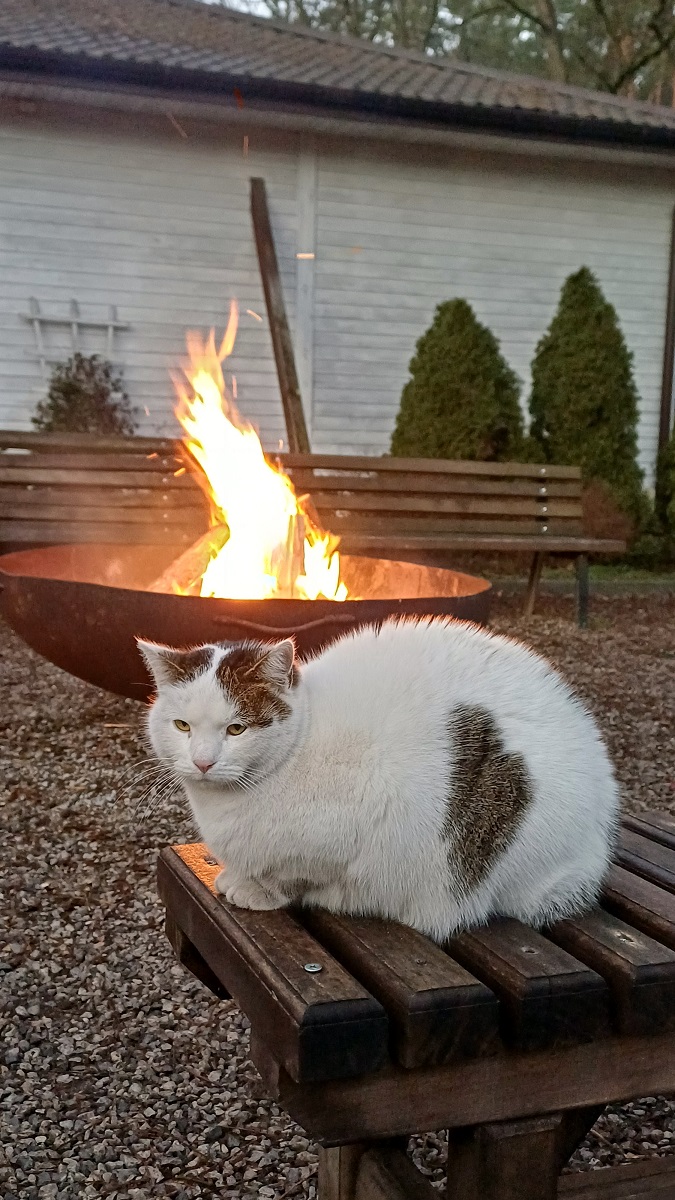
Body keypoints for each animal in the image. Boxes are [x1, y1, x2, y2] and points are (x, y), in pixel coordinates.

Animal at [139, 617, 619, 942]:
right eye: (182, 726)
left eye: (236, 729)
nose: (202, 762)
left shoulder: (344, 830)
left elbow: (294, 876)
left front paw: (256, 890)